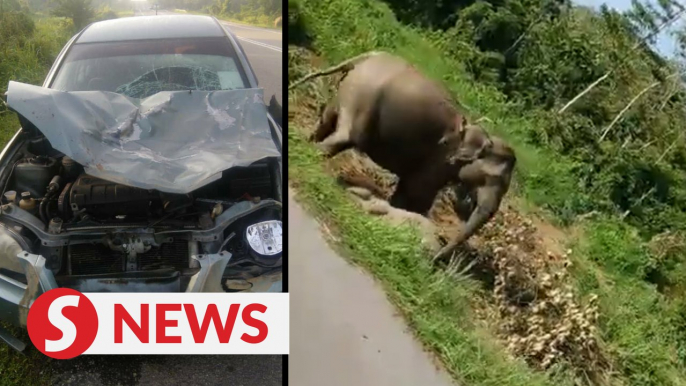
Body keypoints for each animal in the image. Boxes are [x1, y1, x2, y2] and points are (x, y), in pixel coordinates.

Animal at [298, 51, 520, 260]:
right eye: (494, 179)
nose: (437, 261)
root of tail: (369, 55)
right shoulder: (438, 160)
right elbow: (416, 194)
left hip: (347, 90)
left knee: (326, 120)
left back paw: (306, 143)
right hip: (362, 97)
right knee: (344, 137)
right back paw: (313, 160)